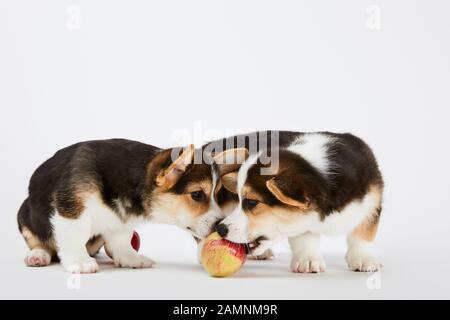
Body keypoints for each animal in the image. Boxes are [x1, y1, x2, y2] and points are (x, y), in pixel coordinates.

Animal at [214, 131, 384, 274]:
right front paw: (308, 262)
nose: (220, 229)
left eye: (251, 202)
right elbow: (305, 238)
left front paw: (365, 260)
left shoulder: (372, 202)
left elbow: (363, 234)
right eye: (239, 199)